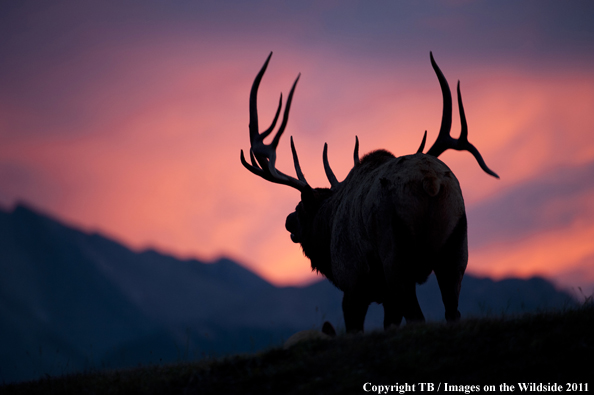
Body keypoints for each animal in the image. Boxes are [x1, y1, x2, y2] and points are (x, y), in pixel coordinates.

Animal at [239, 51, 494, 332]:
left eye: (301, 207)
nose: (287, 221)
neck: (328, 227)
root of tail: (431, 182)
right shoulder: (385, 297)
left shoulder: (353, 283)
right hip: (456, 250)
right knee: (452, 312)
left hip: (396, 255)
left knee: (417, 315)